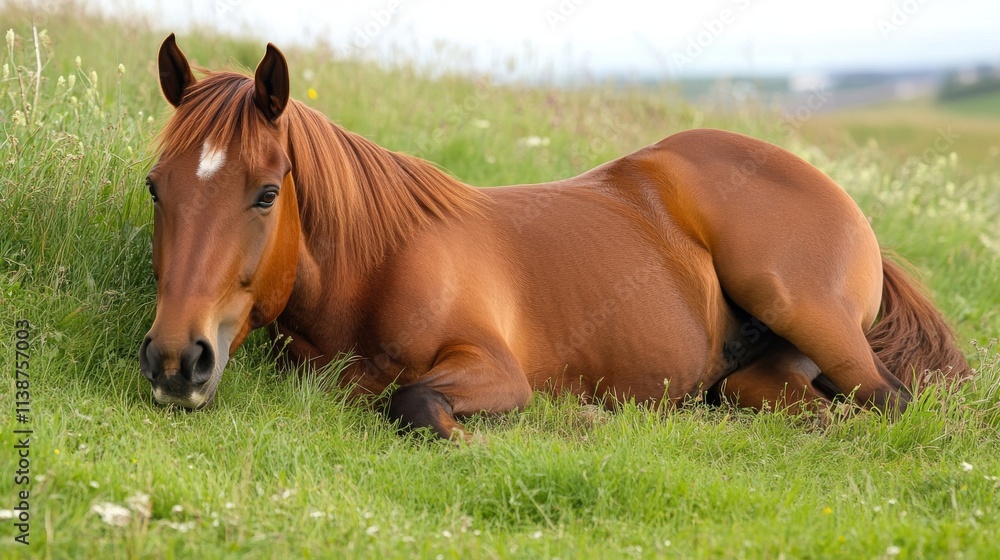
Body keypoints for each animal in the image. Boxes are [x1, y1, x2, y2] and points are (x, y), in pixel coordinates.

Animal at [139, 34, 969, 439]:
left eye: (266, 193)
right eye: (156, 187)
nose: (177, 361)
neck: (375, 268)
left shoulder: (495, 368)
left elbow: (412, 403)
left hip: (806, 310)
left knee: (887, 403)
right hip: (757, 377)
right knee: (790, 402)